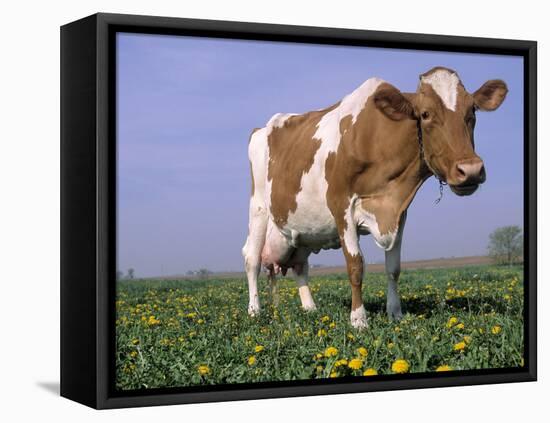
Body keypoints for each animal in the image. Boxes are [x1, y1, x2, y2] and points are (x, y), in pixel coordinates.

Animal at [244, 66, 512, 330]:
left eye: (472, 110)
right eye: (425, 114)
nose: (470, 170)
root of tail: (262, 128)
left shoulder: (399, 212)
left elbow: (393, 268)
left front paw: (395, 314)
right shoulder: (341, 205)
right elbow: (355, 265)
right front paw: (358, 319)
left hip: (301, 229)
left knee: (300, 264)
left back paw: (310, 308)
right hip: (259, 207)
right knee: (252, 258)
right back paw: (255, 310)